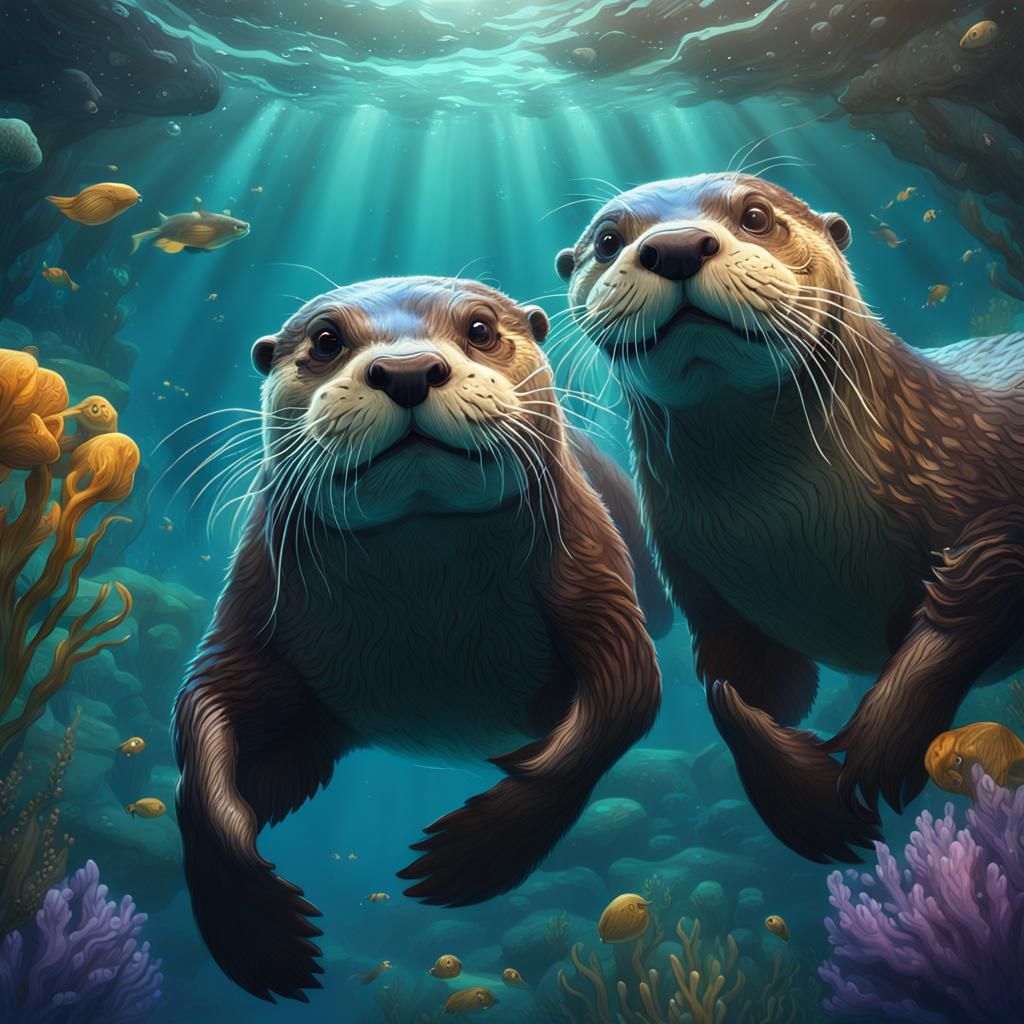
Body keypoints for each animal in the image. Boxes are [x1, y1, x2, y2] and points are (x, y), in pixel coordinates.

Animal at [172, 277, 661, 1002]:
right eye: (326, 340)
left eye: (481, 328)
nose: (406, 370)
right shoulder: (254, 616)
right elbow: (200, 747)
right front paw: (256, 933)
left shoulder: (597, 589)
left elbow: (621, 704)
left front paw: (474, 853)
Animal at [557, 173, 1024, 863]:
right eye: (609, 240)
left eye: (754, 216)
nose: (675, 247)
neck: (792, 526)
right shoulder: (703, 587)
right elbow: (735, 689)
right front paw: (805, 803)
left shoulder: (983, 485)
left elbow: (961, 611)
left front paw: (882, 745)